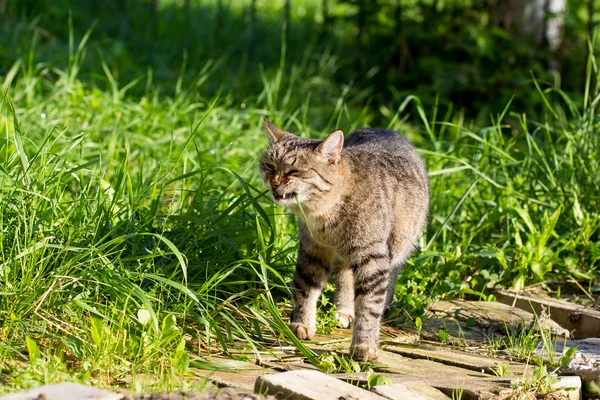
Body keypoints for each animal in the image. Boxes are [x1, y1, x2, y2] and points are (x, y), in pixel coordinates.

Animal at [260, 119, 428, 360]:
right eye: (270, 166)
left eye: (294, 171)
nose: (273, 183)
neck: (324, 215)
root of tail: (384, 129)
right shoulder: (313, 249)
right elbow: (305, 288)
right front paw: (301, 324)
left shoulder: (373, 257)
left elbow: (369, 304)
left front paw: (364, 344)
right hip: (346, 258)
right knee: (345, 278)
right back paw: (345, 310)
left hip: (398, 246)